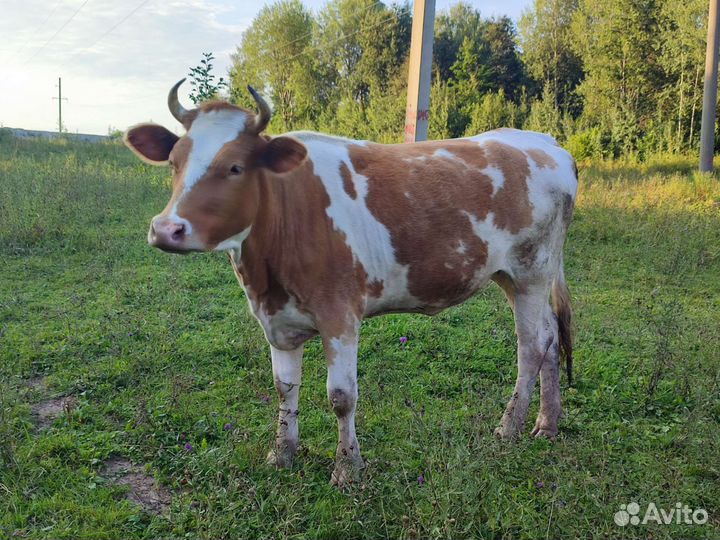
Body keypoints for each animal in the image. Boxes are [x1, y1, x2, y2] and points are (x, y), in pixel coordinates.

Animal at [124, 79, 577, 488]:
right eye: (174, 163)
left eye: (235, 166)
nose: (166, 229)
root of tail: (544, 142)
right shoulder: (277, 318)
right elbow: (284, 388)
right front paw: (282, 454)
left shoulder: (339, 313)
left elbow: (341, 397)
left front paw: (347, 469)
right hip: (513, 277)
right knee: (551, 338)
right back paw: (547, 423)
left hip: (532, 270)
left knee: (532, 346)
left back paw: (509, 427)